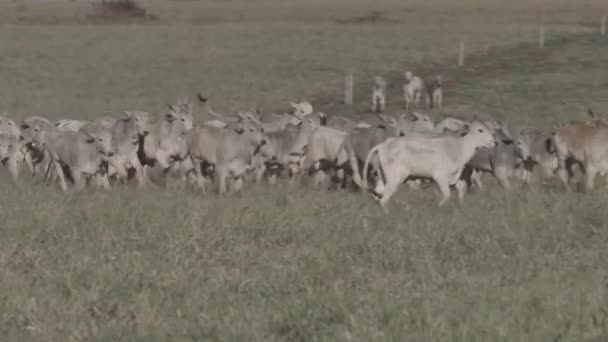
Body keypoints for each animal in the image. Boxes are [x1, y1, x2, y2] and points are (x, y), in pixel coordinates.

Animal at [364, 121, 496, 208]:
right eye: (480, 130)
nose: (494, 142)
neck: (460, 148)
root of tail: (382, 145)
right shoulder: (440, 176)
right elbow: (447, 195)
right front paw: (438, 206)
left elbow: (460, 188)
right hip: (395, 177)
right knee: (383, 199)